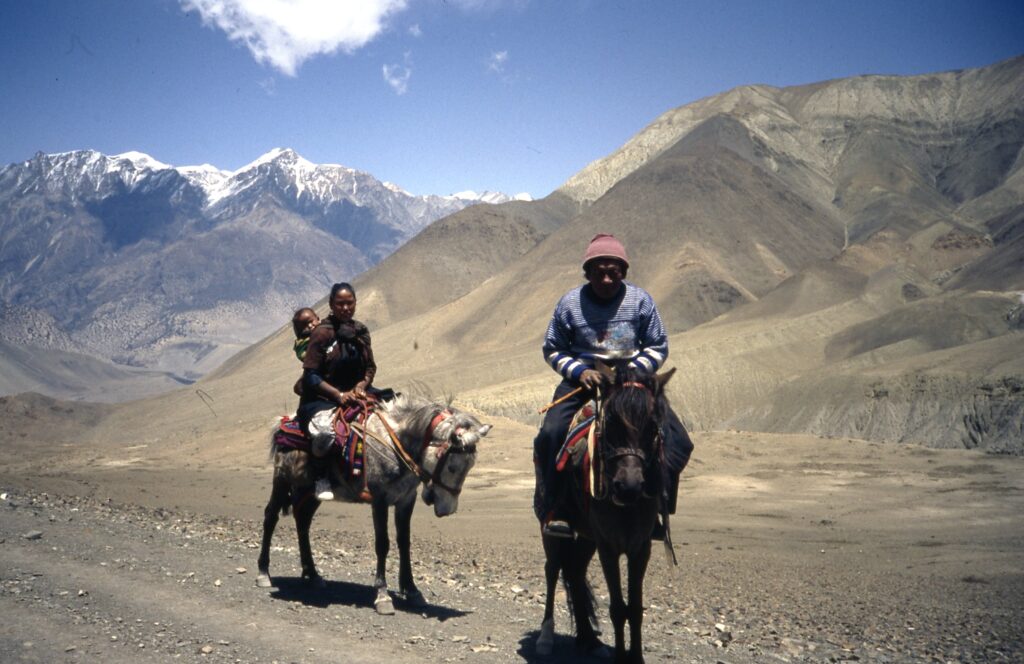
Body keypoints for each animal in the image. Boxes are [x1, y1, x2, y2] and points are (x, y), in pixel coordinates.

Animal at [260, 391, 491, 614]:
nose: (447, 510)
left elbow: (404, 542)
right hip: (282, 480)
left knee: (303, 520)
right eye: (452, 467)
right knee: (271, 516)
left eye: (469, 468)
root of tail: (283, 423)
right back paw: (264, 573)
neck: (395, 444)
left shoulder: (406, 499)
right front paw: (383, 596)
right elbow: (383, 544)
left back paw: (313, 575)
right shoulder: (379, 499)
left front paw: (412, 591)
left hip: (309, 491)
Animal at [536, 364, 671, 659]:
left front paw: (636, 657)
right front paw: (621, 656)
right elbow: (618, 609)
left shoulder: (640, 547)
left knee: (575, 572)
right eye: (610, 422)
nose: (629, 487)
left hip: (587, 537)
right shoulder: (608, 547)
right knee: (552, 569)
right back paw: (545, 637)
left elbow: (635, 609)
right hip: (550, 529)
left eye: (653, 425)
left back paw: (588, 638)